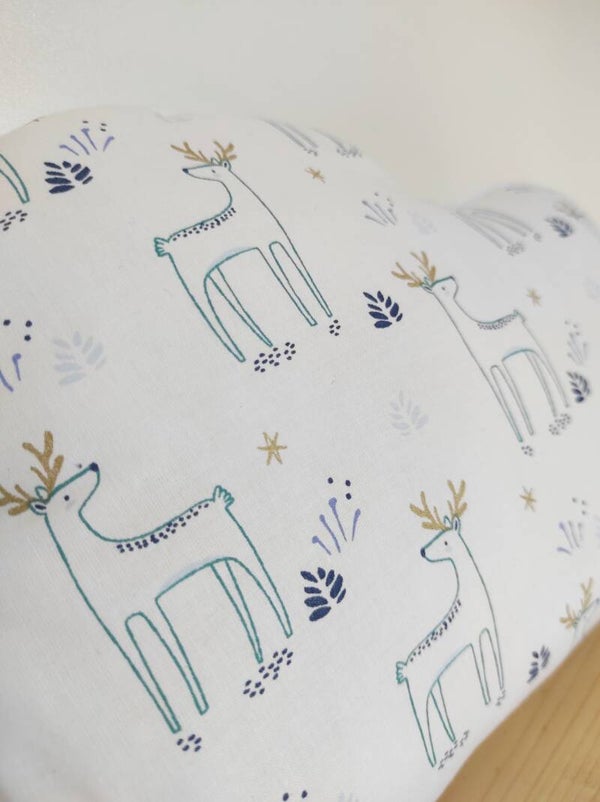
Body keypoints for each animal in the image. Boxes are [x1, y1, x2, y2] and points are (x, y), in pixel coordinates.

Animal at [0, 432, 293, 734]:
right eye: (66, 495)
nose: (93, 466)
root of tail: (217, 501)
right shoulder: (118, 624)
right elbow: (145, 668)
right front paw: (177, 721)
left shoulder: (149, 602)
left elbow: (173, 649)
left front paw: (200, 705)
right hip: (219, 563)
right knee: (238, 596)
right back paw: (261, 654)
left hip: (239, 547)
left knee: (262, 580)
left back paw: (284, 633)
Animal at [153, 140, 332, 363]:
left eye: (213, 169)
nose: (186, 170)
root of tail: (166, 247)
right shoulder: (263, 245)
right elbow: (284, 279)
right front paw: (312, 319)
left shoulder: (280, 238)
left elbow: (301, 269)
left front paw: (326, 313)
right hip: (191, 279)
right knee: (211, 317)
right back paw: (245, 355)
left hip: (212, 274)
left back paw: (265, 345)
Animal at [393, 251, 568, 442]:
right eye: (443, 288)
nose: (452, 277)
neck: (473, 329)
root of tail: (517, 315)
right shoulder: (487, 366)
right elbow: (501, 394)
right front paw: (523, 432)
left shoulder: (497, 361)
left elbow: (512, 390)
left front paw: (527, 432)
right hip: (524, 350)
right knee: (537, 368)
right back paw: (555, 409)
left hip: (532, 344)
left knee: (547, 365)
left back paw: (563, 403)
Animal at [395, 480, 503, 767]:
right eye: (436, 539)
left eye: (444, 539)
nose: (422, 551)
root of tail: (405, 669)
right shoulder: (474, 637)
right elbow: (482, 666)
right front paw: (489, 698)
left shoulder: (488, 626)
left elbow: (495, 657)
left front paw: (499, 690)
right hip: (418, 692)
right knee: (424, 724)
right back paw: (438, 759)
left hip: (433, 686)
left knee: (438, 713)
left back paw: (453, 741)